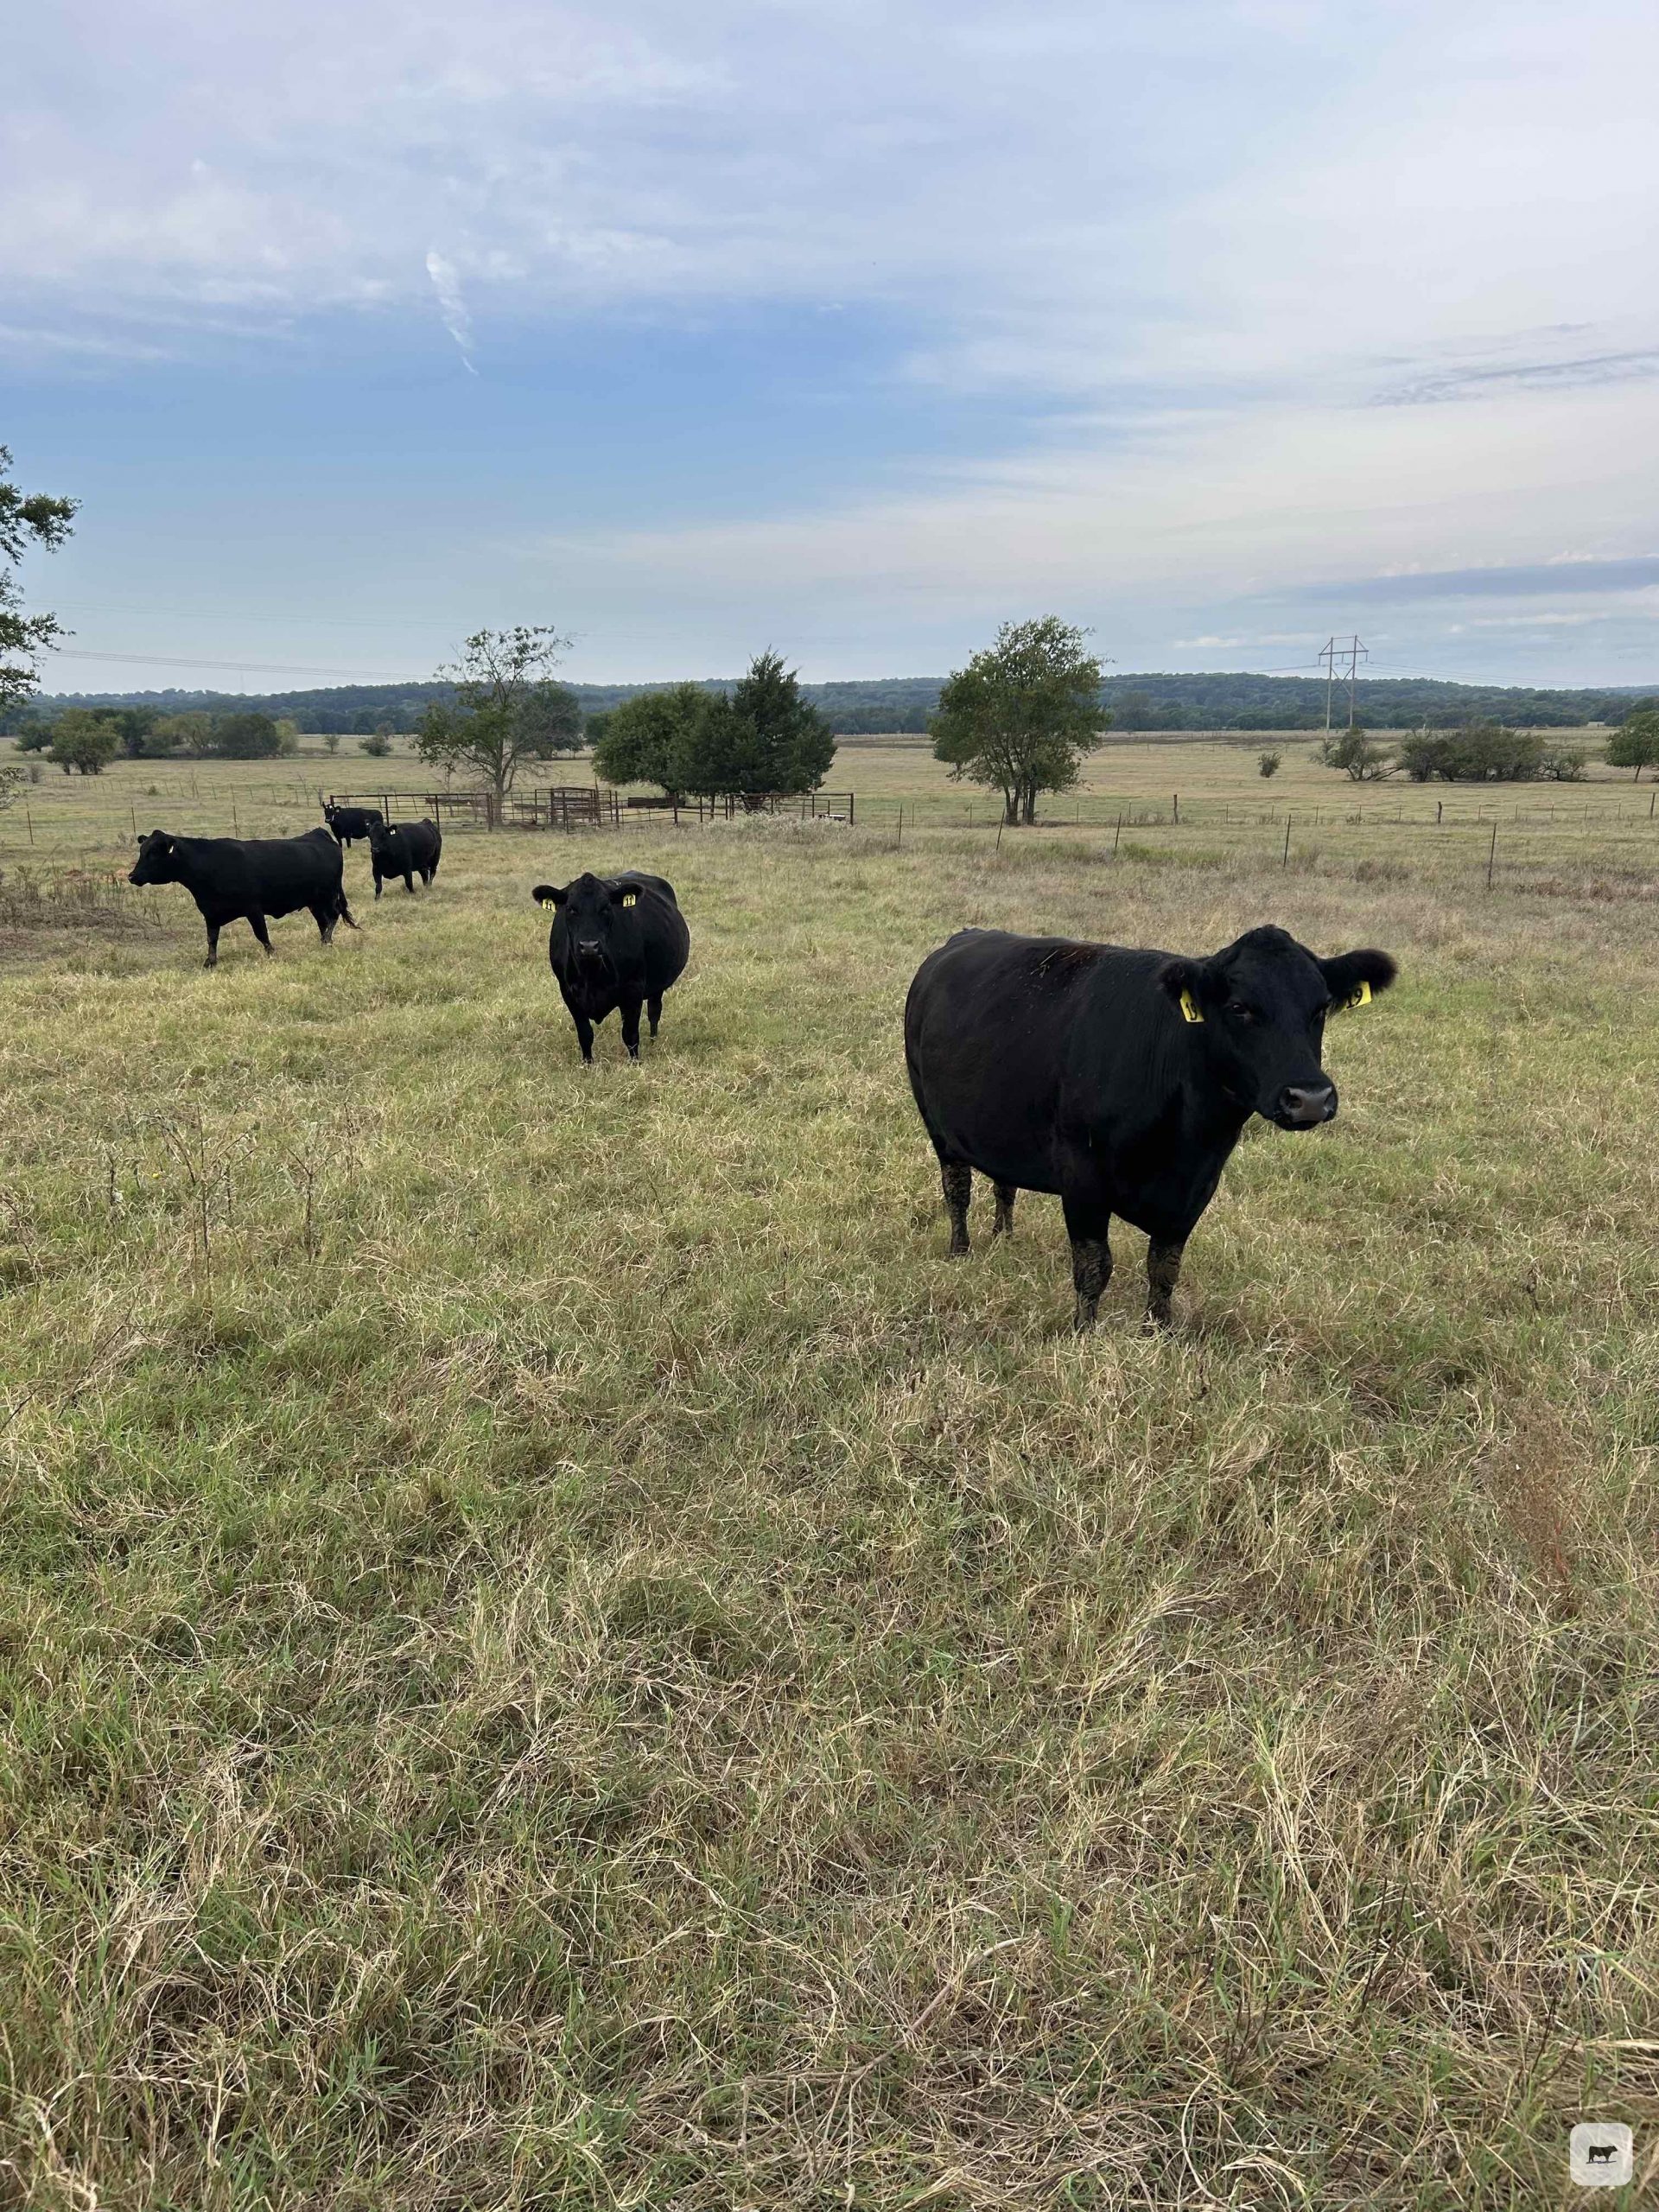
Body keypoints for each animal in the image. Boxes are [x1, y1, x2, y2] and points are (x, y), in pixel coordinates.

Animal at [129, 826, 358, 968]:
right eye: (142, 851)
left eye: (153, 853)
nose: (132, 876)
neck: (208, 865)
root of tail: (319, 834)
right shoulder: (210, 913)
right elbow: (212, 939)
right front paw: (210, 962)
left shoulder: (253, 908)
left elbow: (262, 934)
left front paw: (271, 954)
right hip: (314, 902)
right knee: (323, 921)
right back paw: (325, 943)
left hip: (328, 896)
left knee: (333, 916)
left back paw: (326, 940)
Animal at [530, 870, 690, 1064]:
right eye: (571, 909)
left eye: (605, 908)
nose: (589, 946)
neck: (591, 976)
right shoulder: (568, 991)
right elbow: (585, 1034)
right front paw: (587, 1064)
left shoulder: (633, 988)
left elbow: (630, 1033)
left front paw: (635, 1063)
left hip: (657, 985)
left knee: (654, 1011)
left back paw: (653, 1042)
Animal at [904, 923, 1396, 1330]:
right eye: (1240, 1007)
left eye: (1321, 1008)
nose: (1309, 1098)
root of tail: (963, 938)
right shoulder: (1081, 1177)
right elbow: (1093, 1266)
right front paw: (1084, 1333)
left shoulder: (1197, 1186)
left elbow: (1164, 1267)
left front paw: (1158, 1331)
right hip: (936, 1123)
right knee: (957, 1190)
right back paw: (961, 1252)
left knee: (1004, 1185)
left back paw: (1004, 1238)